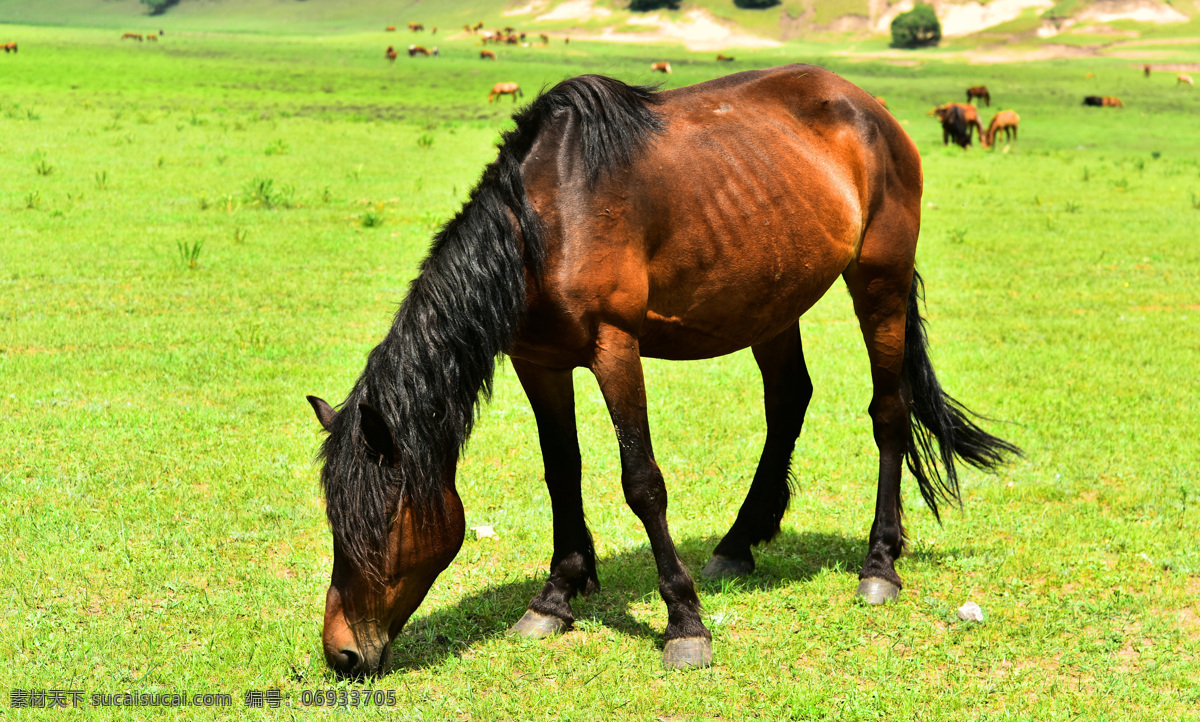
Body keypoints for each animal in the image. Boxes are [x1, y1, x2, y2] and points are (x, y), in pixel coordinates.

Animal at [309, 63, 1022, 676]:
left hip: (880, 279)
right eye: (335, 522)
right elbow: (560, 472)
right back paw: (739, 542)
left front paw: (684, 623)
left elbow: (642, 481)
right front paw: (555, 596)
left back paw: (879, 561)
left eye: (376, 527)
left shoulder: (614, 348)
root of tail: (869, 108)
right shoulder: (539, 362)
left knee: (889, 411)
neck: (545, 221)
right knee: (789, 401)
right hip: (773, 298)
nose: (341, 654)